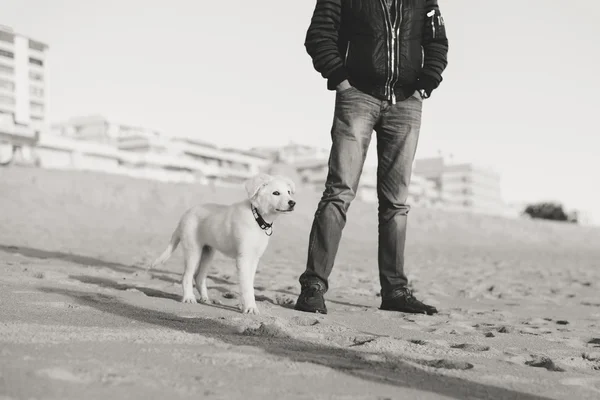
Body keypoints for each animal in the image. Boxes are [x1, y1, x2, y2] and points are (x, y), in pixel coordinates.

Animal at [146, 173, 294, 314]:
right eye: (276, 193)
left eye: (288, 192)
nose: (293, 203)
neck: (257, 217)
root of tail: (184, 217)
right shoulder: (244, 258)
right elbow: (246, 286)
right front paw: (250, 308)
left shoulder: (254, 259)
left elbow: (248, 284)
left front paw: (245, 306)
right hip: (193, 250)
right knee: (187, 276)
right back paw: (188, 298)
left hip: (208, 252)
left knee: (199, 277)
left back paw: (205, 299)